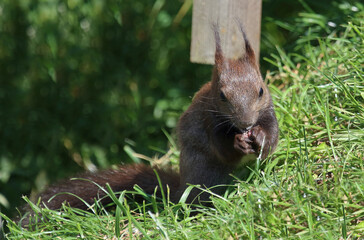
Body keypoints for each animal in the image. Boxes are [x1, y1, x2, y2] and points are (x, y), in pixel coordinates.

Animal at [28, 23, 278, 212]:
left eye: (261, 90)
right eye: (222, 96)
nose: (246, 123)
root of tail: (180, 189)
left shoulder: (268, 112)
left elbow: (272, 138)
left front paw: (260, 137)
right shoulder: (210, 122)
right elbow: (222, 149)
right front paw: (238, 143)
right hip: (206, 173)